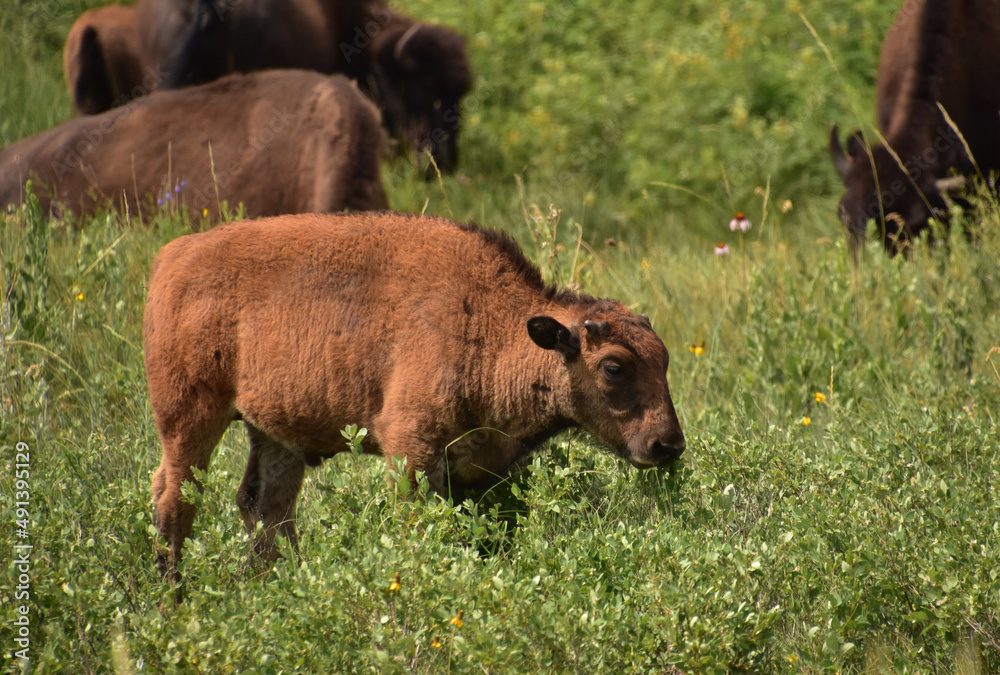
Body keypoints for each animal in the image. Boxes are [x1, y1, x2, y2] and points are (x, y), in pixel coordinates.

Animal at [143, 213, 687, 580]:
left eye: (664, 361)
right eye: (613, 366)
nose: (668, 445)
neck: (491, 322)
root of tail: (171, 257)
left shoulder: (484, 471)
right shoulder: (411, 448)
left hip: (275, 435)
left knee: (264, 506)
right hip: (191, 417)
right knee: (175, 499)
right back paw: (174, 597)